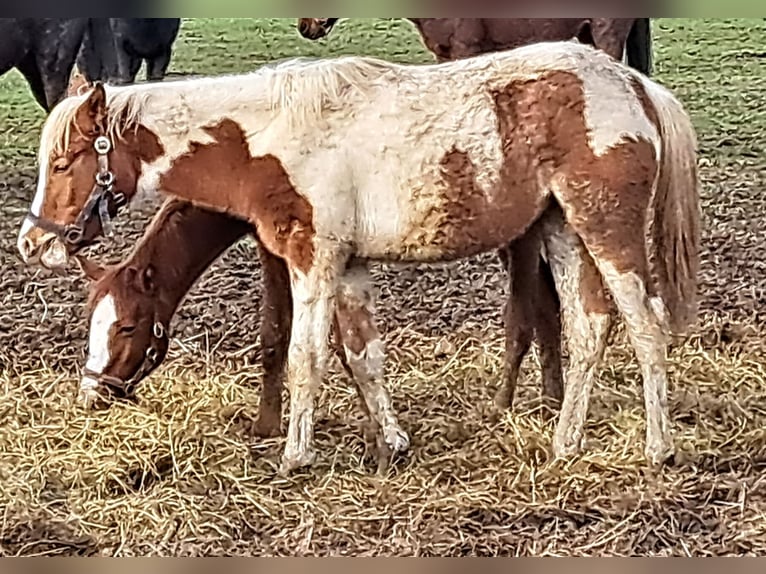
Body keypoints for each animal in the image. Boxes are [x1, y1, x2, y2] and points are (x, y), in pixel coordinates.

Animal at [16, 39, 704, 472]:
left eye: (64, 162)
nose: (33, 242)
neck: (266, 136)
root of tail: (635, 85)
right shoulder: (347, 267)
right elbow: (362, 357)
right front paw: (391, 443)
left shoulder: (311, 259)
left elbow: (306, 357)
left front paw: (295, 456)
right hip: (562, 229)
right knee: (590, 327)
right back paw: (564, 444)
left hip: (606, 229)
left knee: (645, 327)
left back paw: (659, 448)